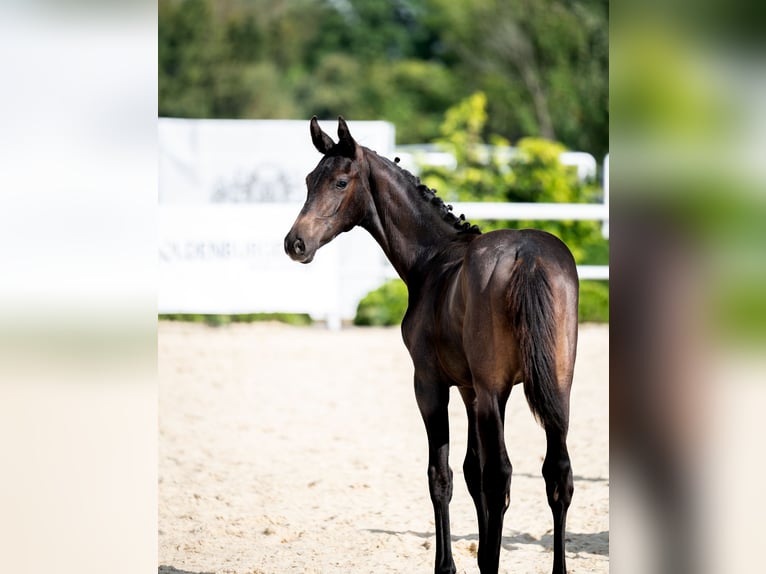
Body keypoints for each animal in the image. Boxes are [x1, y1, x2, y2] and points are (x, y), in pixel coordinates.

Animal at [284, 117, 580, 574]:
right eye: (307, 180)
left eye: (340, 181)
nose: (295, 243)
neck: (434, 260)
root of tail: (527, 256)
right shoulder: (472, 390)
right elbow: (472, 470)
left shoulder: (431, 384)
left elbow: (442, 476)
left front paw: (448, 565)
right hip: (556, 388)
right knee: (556, 474)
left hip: (494, 390)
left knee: (502, 475)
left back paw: (491, 563)